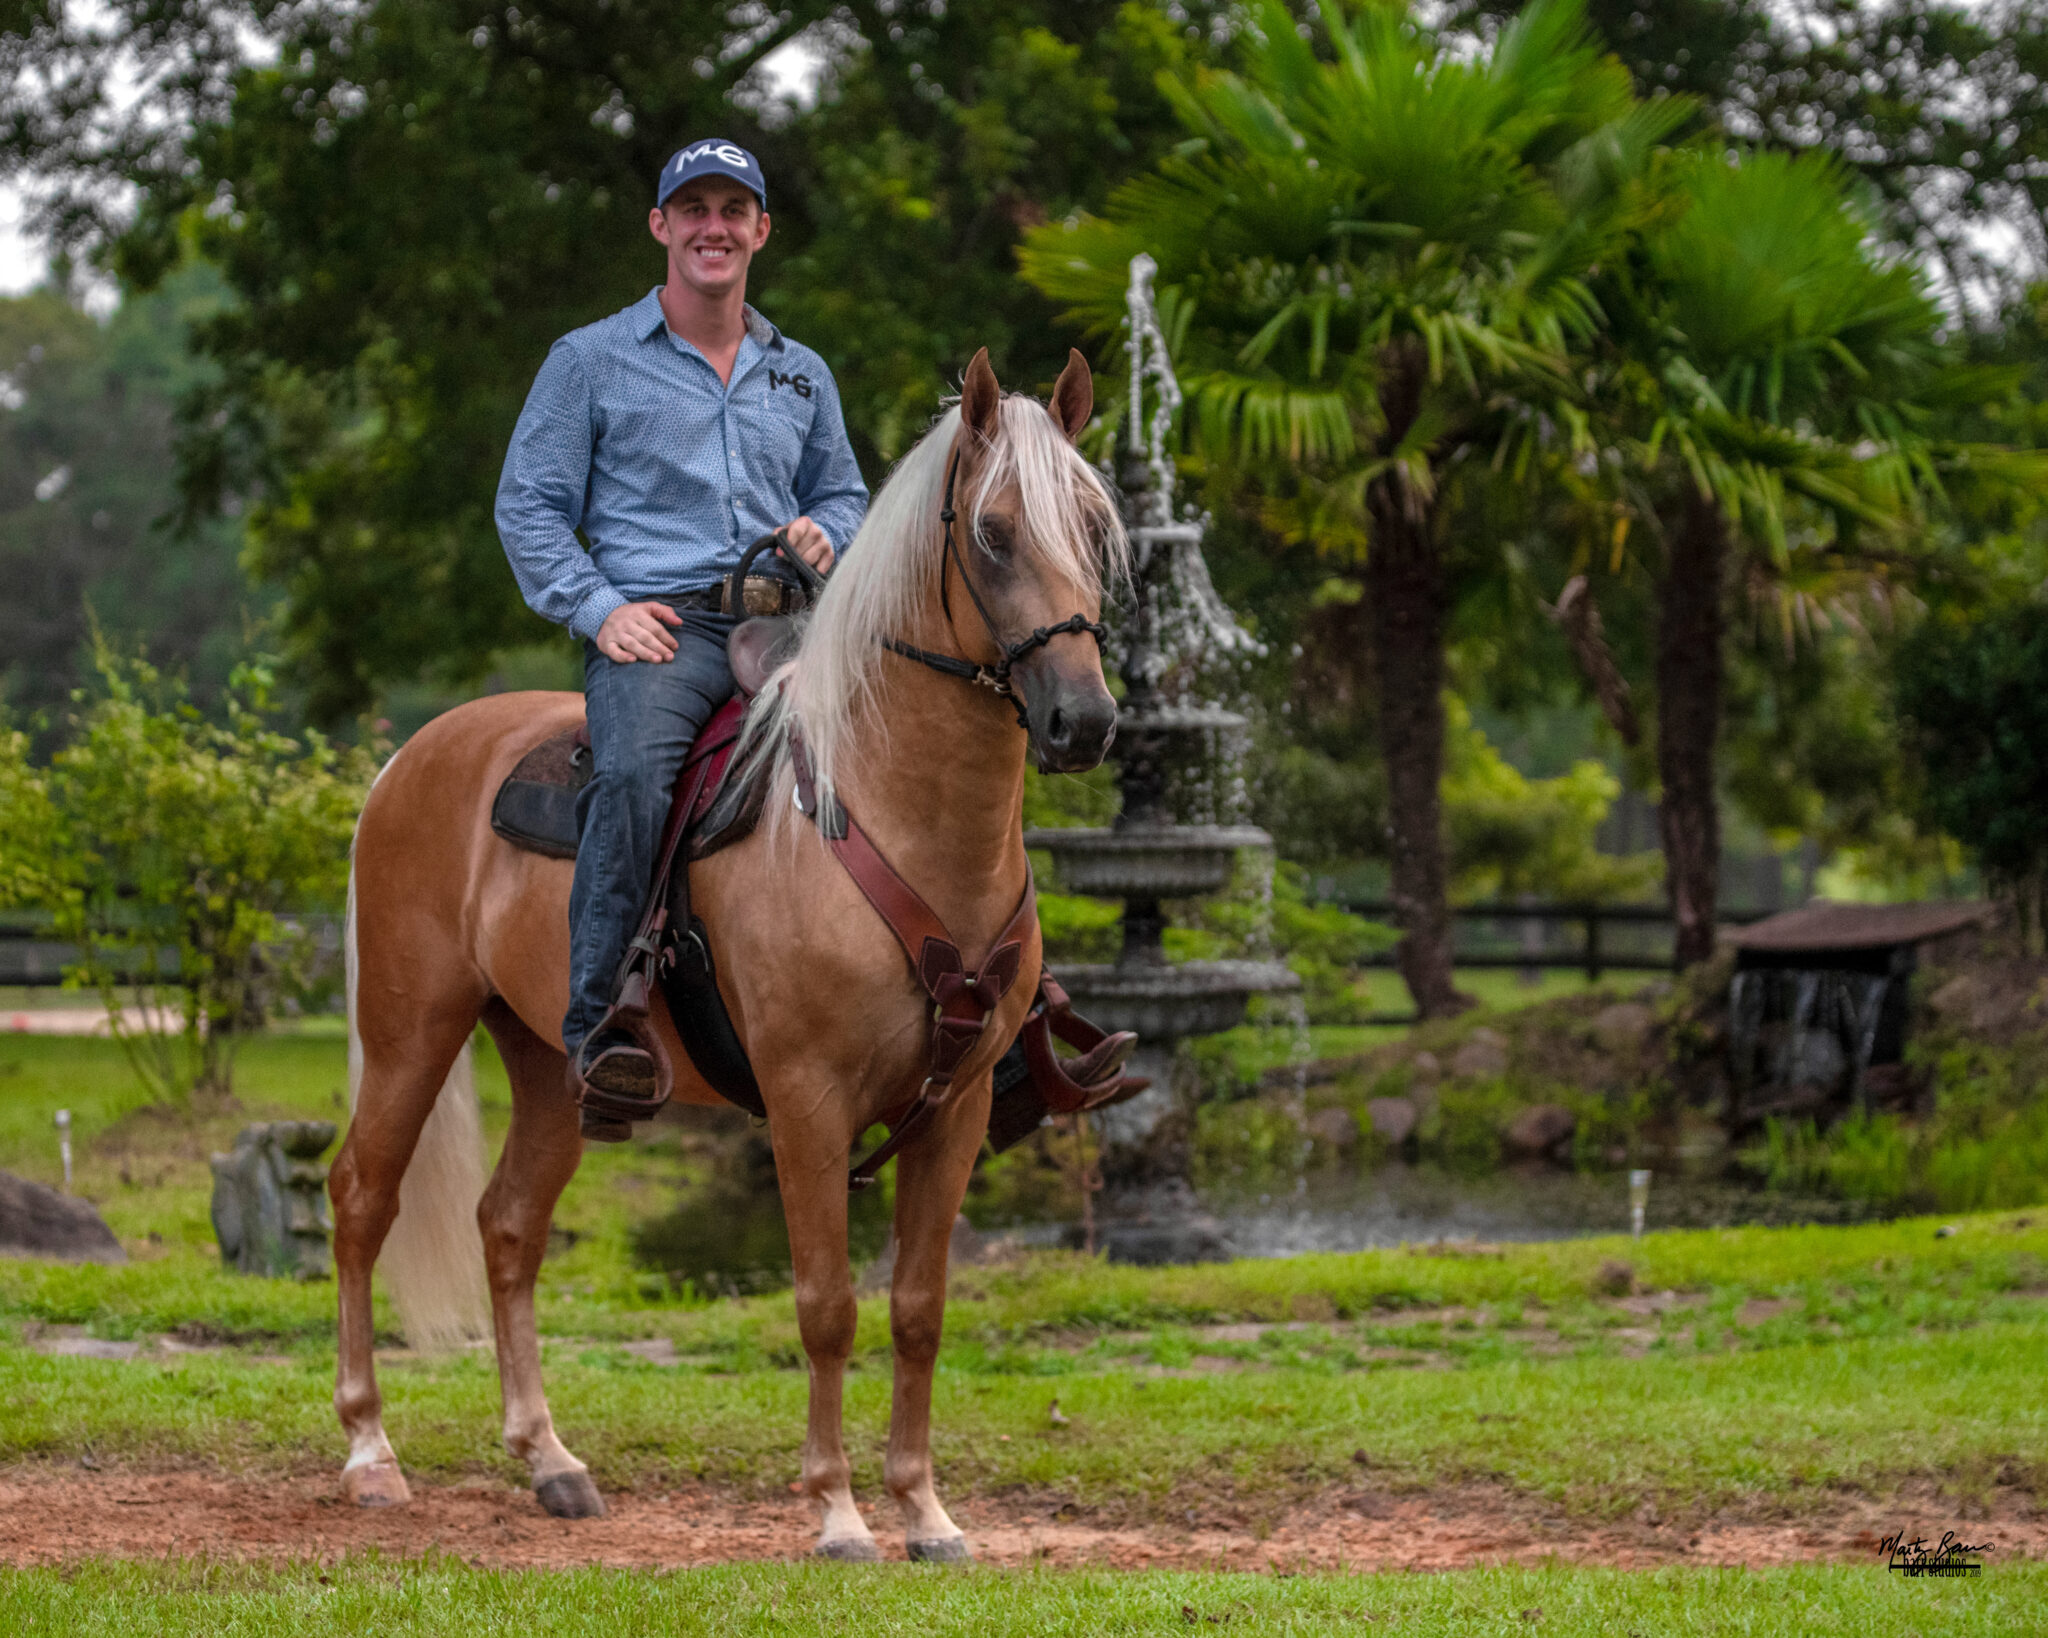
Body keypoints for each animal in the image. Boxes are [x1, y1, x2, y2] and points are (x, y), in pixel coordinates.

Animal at [333, 347, 1125, 1561]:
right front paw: (837, 1513)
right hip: (409, 1030)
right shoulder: (806, 1099)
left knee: (508, 1225)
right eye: (993, 533)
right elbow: (827, 1305)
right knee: (362, 1200)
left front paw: (925, 1512)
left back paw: (549, 1460)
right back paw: (371, 1454)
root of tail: (411, 756)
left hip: (551, 1062)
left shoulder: (957, 1108)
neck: (884, 813)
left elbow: (918, 1310)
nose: (1082, 720)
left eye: (1090, 524)